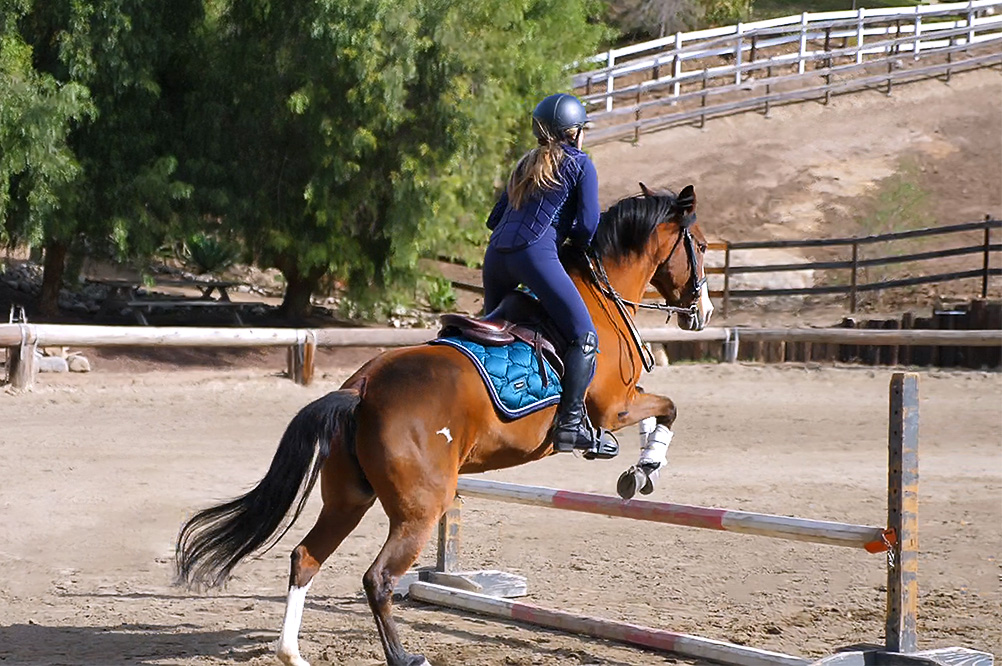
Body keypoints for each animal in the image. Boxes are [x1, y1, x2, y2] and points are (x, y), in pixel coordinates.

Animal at [176, 182, 717, 664]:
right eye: (703, 246)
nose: (703, 312)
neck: (598, 296)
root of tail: (361, 388)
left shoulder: (624, 404)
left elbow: (662, 408)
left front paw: (640, 471)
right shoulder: (614, 407)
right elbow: (667, 408)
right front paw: (644, 468)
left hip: (349, 498)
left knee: (306, 557)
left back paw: (292, 653)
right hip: (421, 508)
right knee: (378, 578)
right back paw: (404, 657)